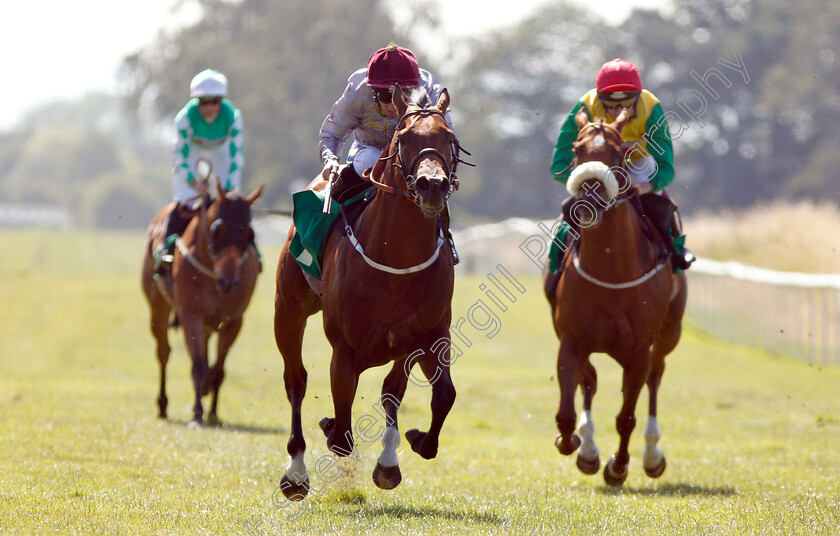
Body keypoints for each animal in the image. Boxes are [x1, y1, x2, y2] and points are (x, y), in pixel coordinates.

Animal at [140, 181, 262, 428]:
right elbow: (197, 364)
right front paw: (197, 413)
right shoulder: (191, 314)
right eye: (217, 229)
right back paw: (163, 405)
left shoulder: (234, 320)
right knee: (164, 352)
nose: (228, 281)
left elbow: (218, 370)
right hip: (158, 307)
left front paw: (212, 410)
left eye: (249, 233)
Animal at [272, 86, 462, 500]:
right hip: (288, 309)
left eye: (449, 139)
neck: (395, 256)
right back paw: (296, 472)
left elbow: (433, 394)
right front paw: (328, 429)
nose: (433, 185)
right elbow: (341, 433)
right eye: (404, 139)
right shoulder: (345, 347)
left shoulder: (428, 335)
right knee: (295, 380)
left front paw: (399, 455)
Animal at [544, 108, 688, 486]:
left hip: (669, 333)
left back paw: (652, 456)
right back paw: (588, 449)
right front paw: (576, 445)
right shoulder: (571, 340)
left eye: (619, 151)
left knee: (656, 376)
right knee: (591, 382)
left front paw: (619, 466)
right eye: (576, 149)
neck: (612, 272)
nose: (588, 200)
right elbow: (568, 409)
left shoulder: (639, 350)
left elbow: (627, 416)